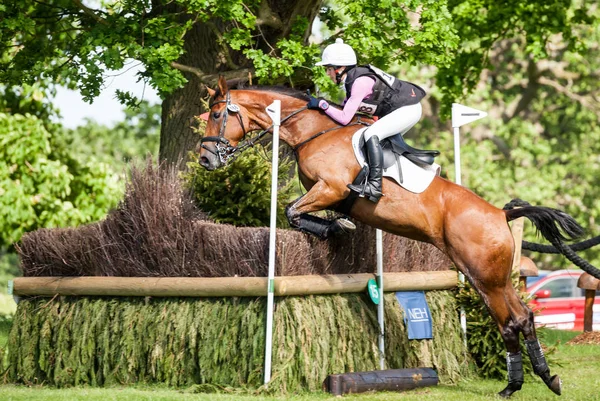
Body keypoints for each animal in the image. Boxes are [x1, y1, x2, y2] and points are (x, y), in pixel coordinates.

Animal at [197, 76, 596, 396]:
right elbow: (296, 212)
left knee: (510, 322)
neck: (313, 131)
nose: (205, 160)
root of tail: (501, 213)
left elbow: (293, 212)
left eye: (217, 115)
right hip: (489, 276)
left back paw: (514, 386)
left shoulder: (330, 188)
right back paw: (546, 379)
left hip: (485, 276)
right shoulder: (328, 195)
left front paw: (336, 227)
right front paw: (338, 226)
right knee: (523, 317)